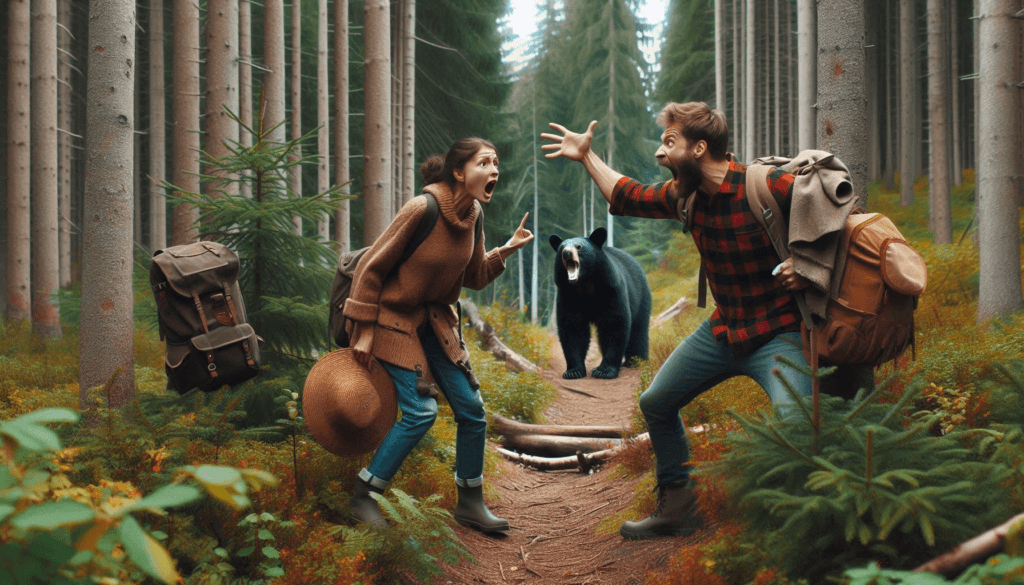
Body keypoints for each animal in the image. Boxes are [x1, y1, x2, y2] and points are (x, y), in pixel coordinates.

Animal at [548, 228, 651, 379]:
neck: (585, 284)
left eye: (579, 247)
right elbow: (572, 328)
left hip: (641, 296)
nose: (566, 253)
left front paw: (604, 371)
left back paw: (635, 360)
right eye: (562, 247)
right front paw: (574, 371)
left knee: (639, 329)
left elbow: (613, 324)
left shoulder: (611, 290)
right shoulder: (568, 296)